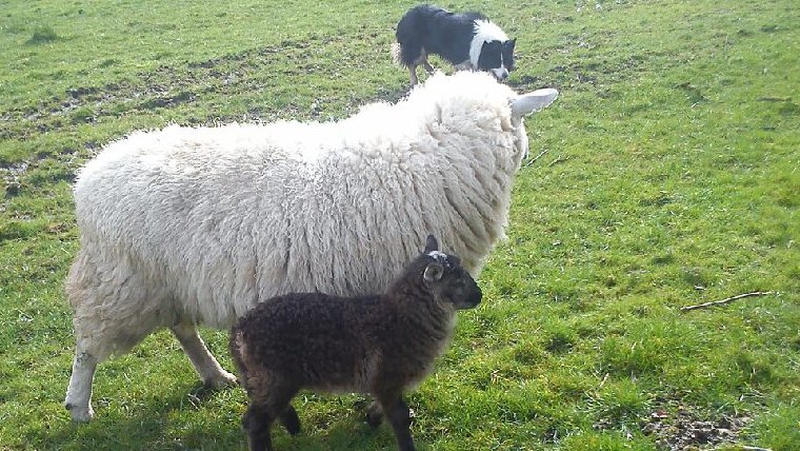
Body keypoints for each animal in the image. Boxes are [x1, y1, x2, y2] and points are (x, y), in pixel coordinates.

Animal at [64, 71, 556, 424]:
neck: (429, 159)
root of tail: (89, 177)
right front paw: (383, 411)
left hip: (167, 282)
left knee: (182, 329)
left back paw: (215, 375)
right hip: (120, 282)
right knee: (88, 343)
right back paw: (79, 406)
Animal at [231, 237, 482, 451]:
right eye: (457, 281)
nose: (479, 296)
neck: (401, 317)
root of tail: (241, 328)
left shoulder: (386, 381)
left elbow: (385, 406)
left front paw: (371, 419)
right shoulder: (388, 375)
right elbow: (400, 417)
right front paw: (404, 444)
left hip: (263, 377)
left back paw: (293, 424)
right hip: (276, 377)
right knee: (254, 421)